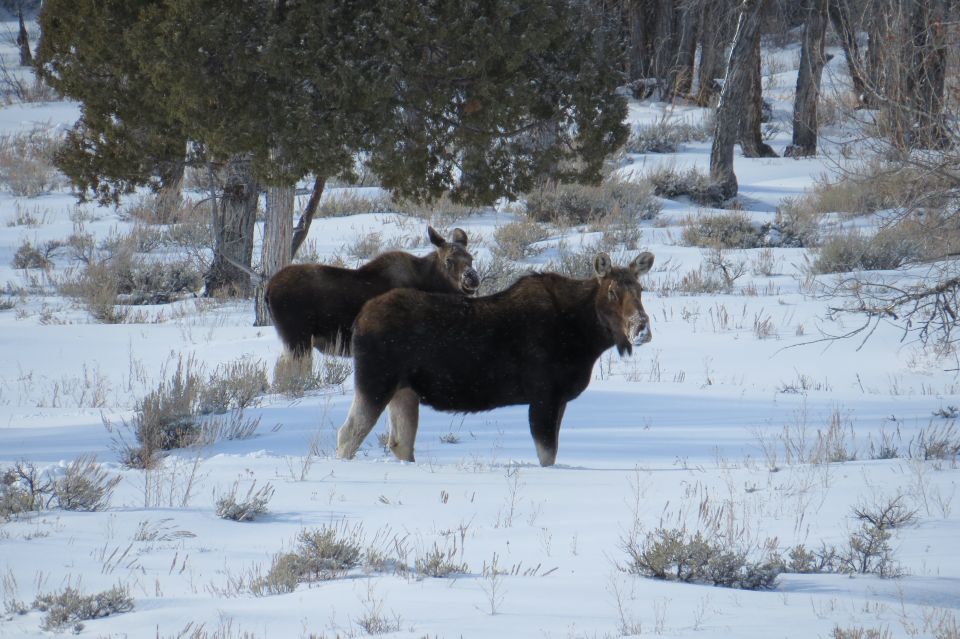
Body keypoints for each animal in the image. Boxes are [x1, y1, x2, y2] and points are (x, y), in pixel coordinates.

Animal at [264, 228, 478, 360]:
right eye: (449, 259)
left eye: (471, 258)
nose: (472, 278)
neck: (431, 284)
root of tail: (268, 290)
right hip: (297, 339)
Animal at [334, 252, 656, 468]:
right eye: (612, 291)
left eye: (641, 290)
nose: (642, 327)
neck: (585, 336)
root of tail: (359, 320)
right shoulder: (544, 396)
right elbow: (547, 455)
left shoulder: (559, 398)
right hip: (375, 382)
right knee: (347, 434)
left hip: (404, 391)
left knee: (400, 444)